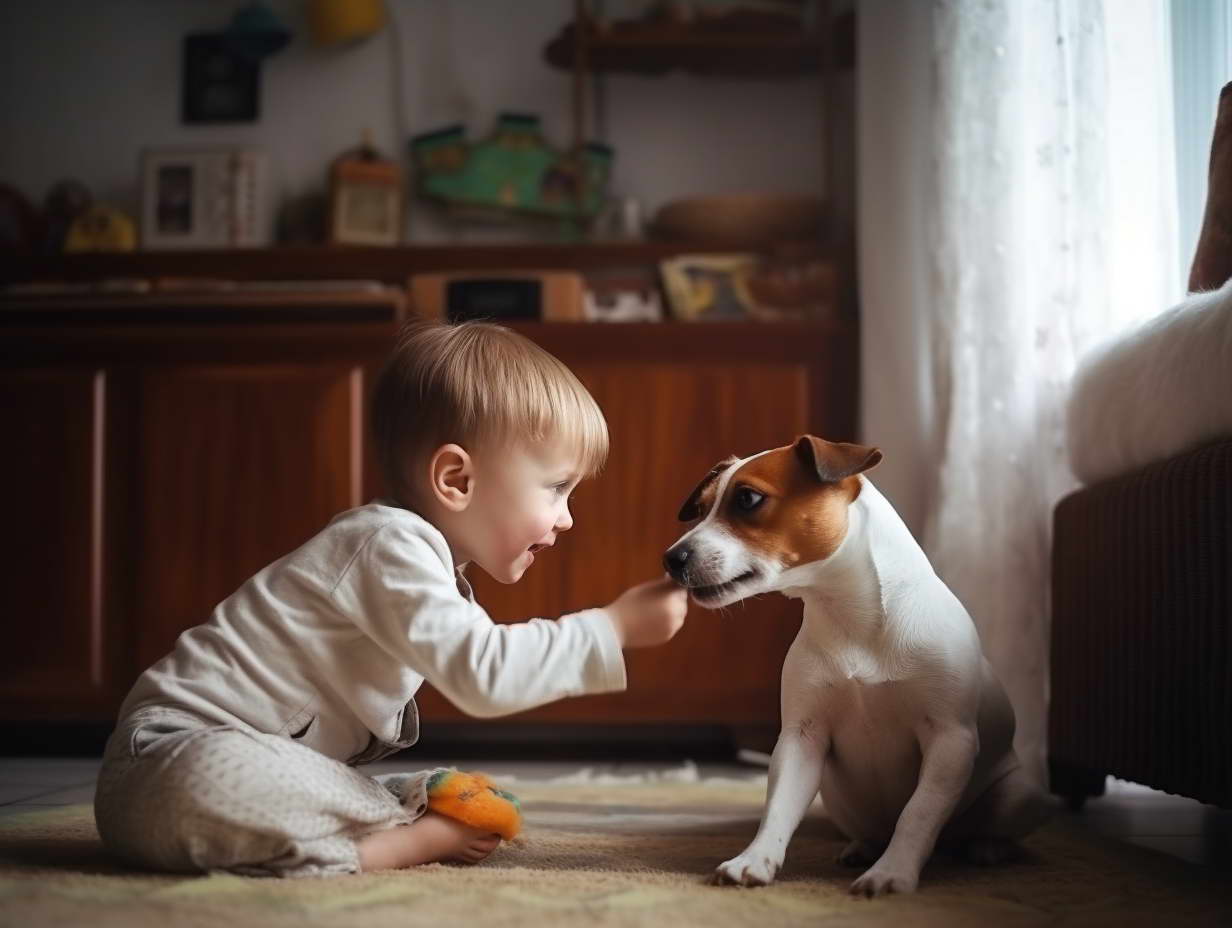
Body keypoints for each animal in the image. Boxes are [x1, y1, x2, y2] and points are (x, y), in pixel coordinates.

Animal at [665, 438, 1049, 892]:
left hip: (1021, 795)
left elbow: (917, 812)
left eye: (747, 499)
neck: (851, 618)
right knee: (871, 829)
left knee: (983, 829)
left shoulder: (950, 740)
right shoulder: (801, 739)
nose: (670, 559)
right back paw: (862, 847)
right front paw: (755, 860)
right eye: (702, 506)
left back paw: (986, 848)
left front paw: (892, 871)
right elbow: (778, 809)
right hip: (835, 796)